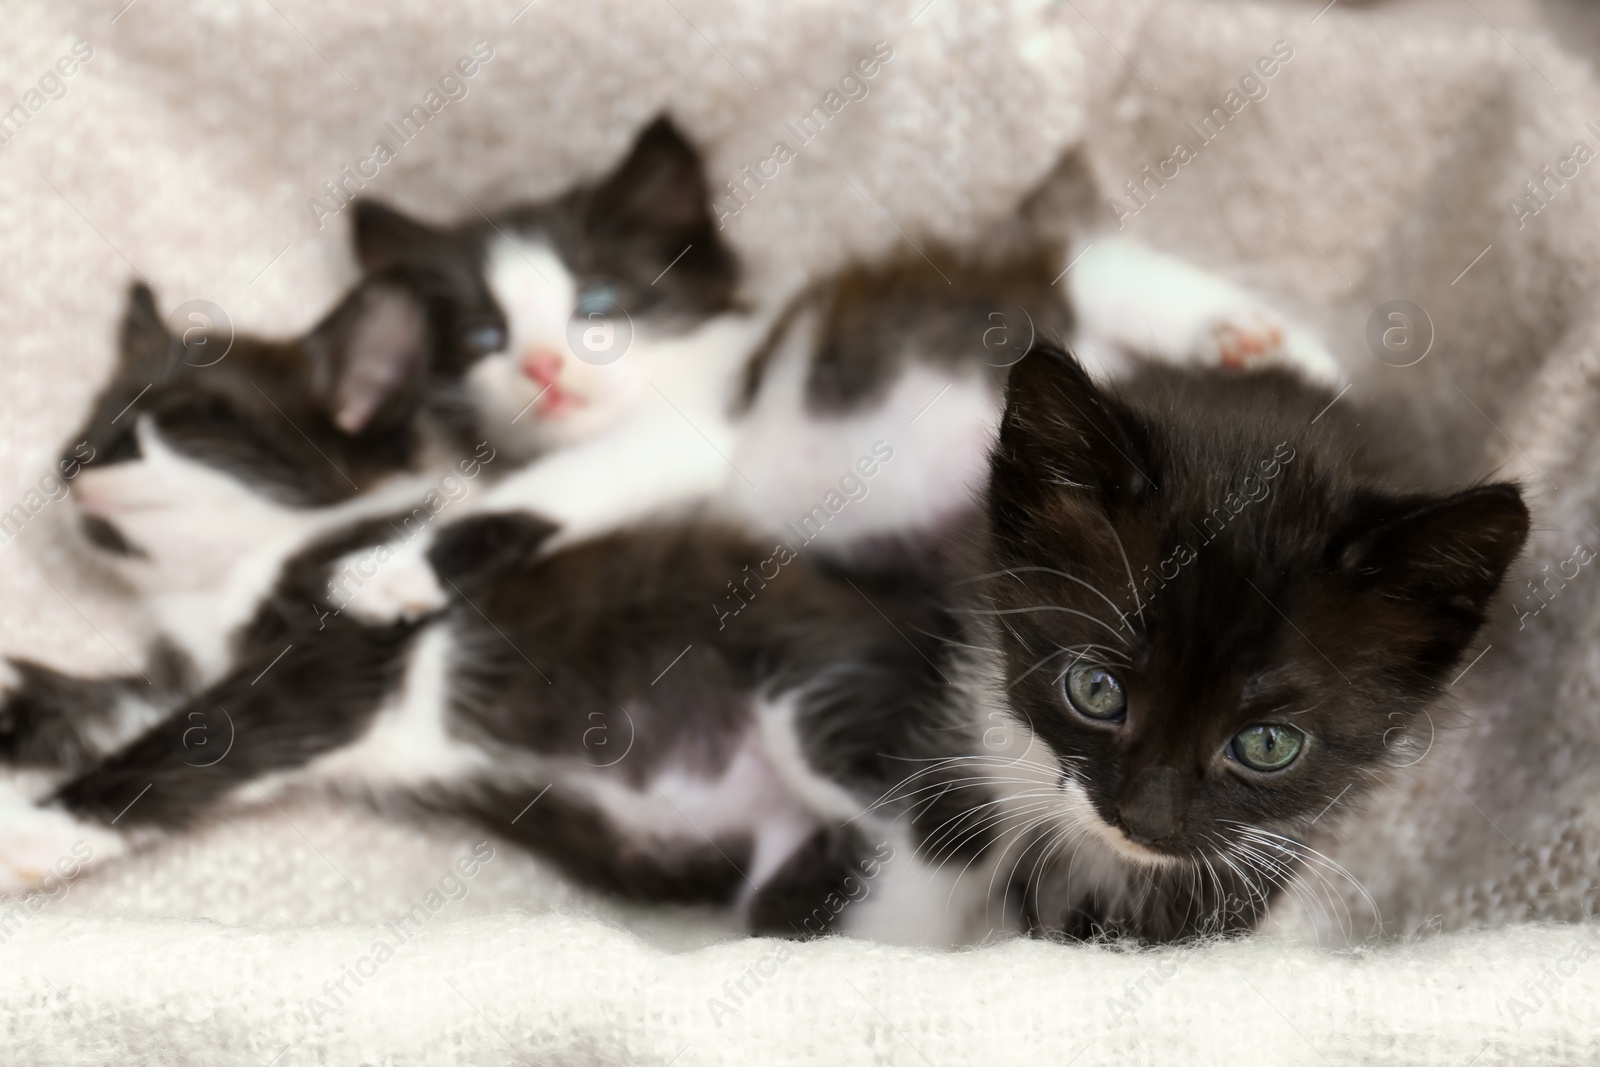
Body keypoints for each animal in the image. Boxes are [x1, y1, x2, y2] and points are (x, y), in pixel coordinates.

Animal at [0, 343, 1529, 940]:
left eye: (171, 420)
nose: (72, 458)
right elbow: (107, 695)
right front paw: (28, 715)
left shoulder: (333, 651)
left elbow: (209, 731)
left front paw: (44, 831)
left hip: (831, 711)